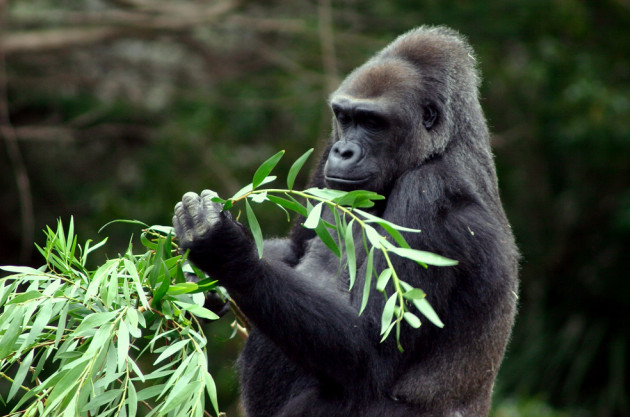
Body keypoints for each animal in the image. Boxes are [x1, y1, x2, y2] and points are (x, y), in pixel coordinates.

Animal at [173, 26, 520, 416]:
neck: (439, 146)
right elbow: (292, 252)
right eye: (345, 117)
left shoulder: (429, 194)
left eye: (373, 123)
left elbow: (369, 351)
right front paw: (199, 285)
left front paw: (225, 250)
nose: (345, 152)